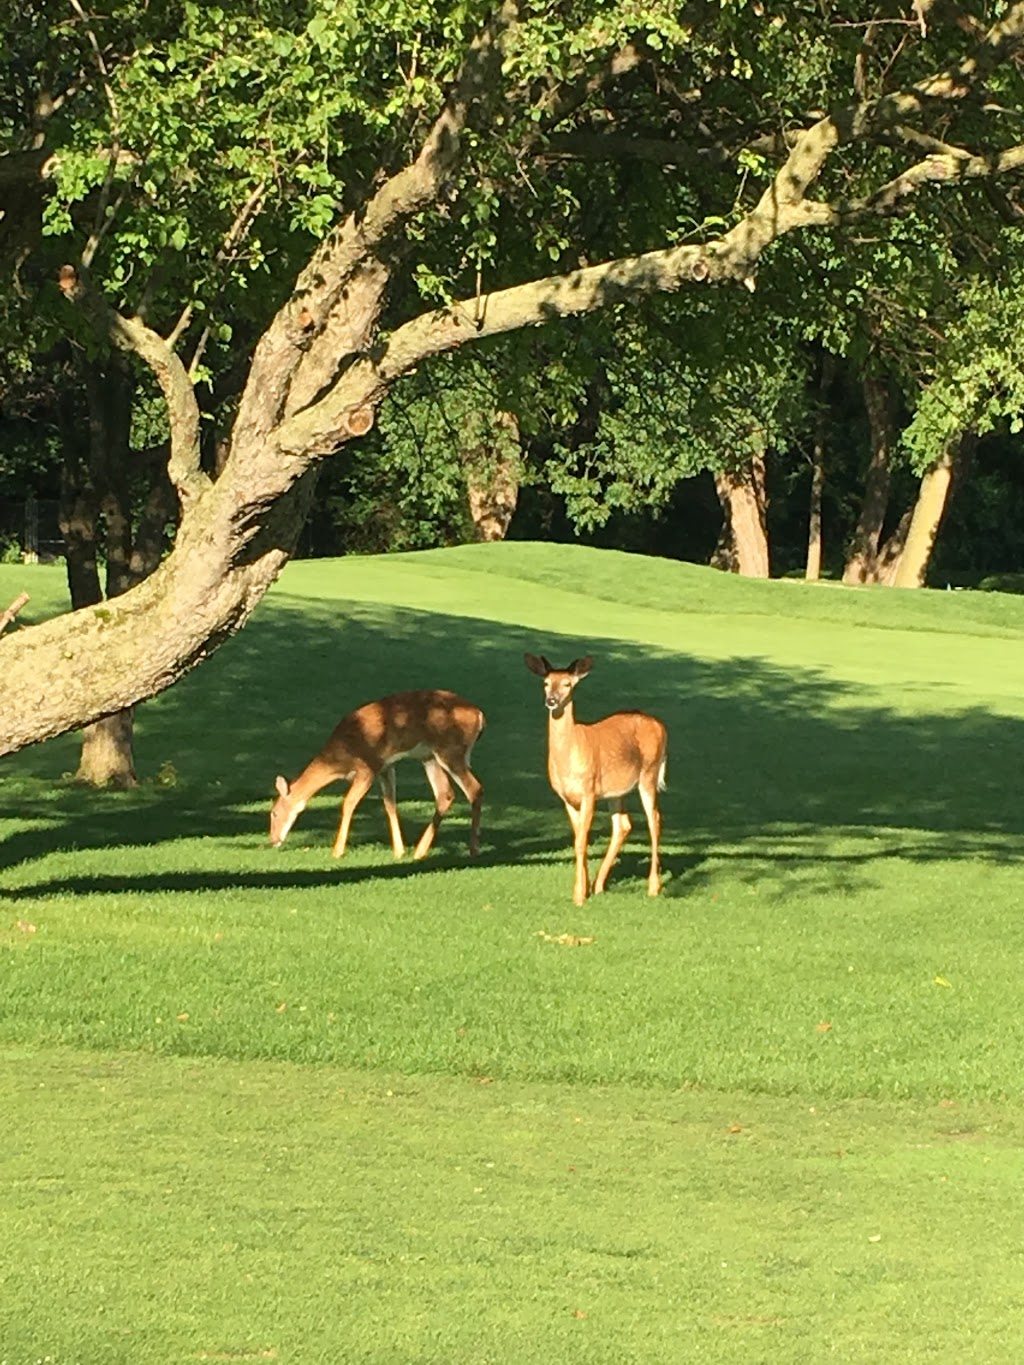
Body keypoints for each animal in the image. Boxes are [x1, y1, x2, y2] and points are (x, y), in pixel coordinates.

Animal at [268, 687, 486, 857]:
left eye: (274, 813)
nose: (272, 840)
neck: (338, 758)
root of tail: (480, 715)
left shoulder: (368, 766)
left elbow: (348, 803)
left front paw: (337, 851)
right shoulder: (386, 766)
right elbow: (390, 804)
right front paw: (399, 850)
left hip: (450, 750)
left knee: (475, 789)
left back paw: (473, 848)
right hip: (429, 756)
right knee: (445, 794)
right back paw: (419, 851)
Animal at [524, 652, 669, 906]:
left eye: (567, 684)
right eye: (546, 683)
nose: (551, 700)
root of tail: (662, 726)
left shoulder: (588, 790)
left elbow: (582, 841)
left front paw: (579, 896)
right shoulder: (567, 797)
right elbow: (578, 839)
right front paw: (583, 889)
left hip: (649, 773)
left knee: (655, 820)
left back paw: (653, 887)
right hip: (617, 790)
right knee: (623, 824)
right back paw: (599, 885)